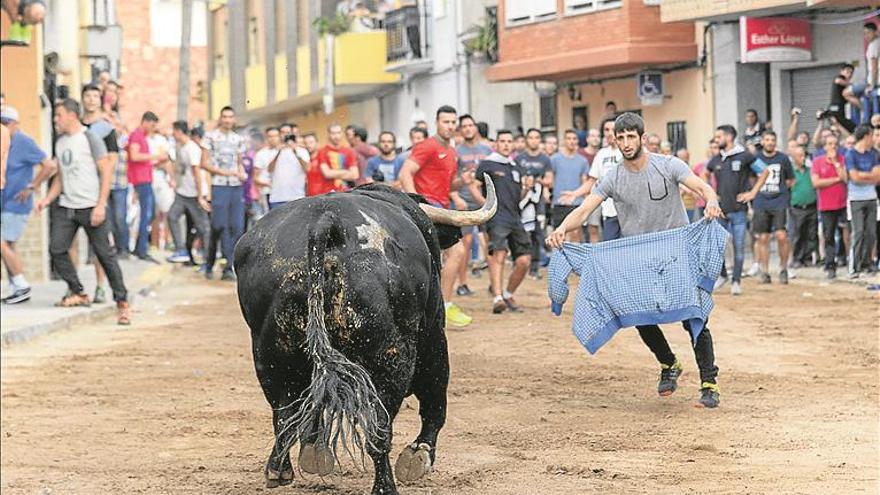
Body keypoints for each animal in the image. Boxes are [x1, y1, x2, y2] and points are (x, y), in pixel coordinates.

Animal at [234, 179, 496, 495]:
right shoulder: (434, 334)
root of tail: (326, 221)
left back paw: (279, 469)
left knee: (284, 411)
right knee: (379, 427)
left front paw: (314, 452)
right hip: (389, 355)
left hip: (269, 351)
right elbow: (435, 398)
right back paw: (385, 487)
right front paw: (419, 455)